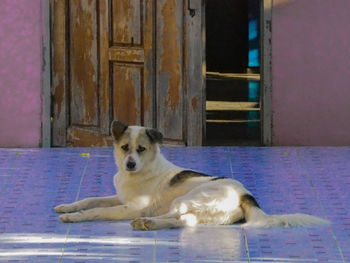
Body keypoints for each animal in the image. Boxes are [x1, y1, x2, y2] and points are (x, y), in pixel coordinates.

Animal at [55, 120, 330, 230]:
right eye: (124, 148)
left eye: (141, 149)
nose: (130, 164)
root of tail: (246, 195)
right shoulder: (119, 197)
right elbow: (90, 199)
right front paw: (67, 206)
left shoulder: (131, 207)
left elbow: (95, 210)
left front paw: (74, 217)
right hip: (202, 213)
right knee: (182, 221)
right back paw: (149, 224)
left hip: (189, 197)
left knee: (172, 215)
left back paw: (146, 221)